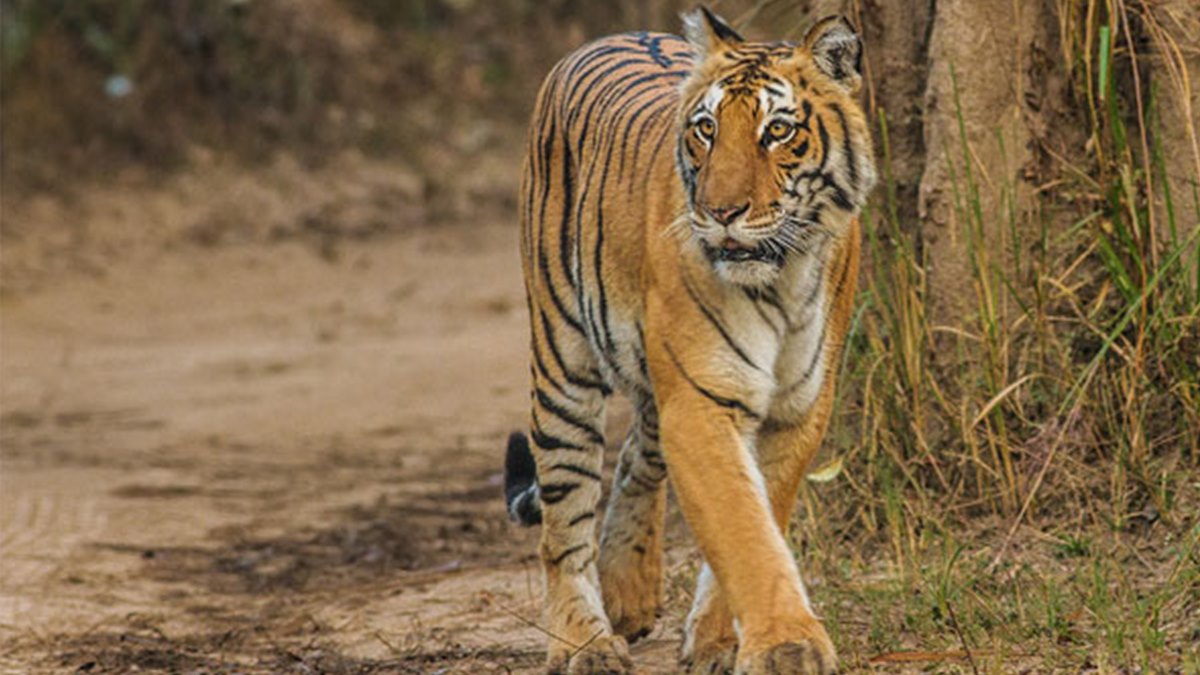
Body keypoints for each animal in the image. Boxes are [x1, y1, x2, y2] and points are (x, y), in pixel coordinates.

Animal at [503, 7, 875, 674]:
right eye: (706, 129)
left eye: (777, 131)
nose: (721, 212)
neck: (782, 279)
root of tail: (610, 35)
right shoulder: (701, 403)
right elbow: (743, 529)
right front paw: (786, 645)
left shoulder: (798, 406)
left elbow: (761, 516)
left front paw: (719, 642)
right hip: (562, 359)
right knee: (563, 522)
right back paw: (584, 643)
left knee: (635, 456)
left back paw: (627, 592)